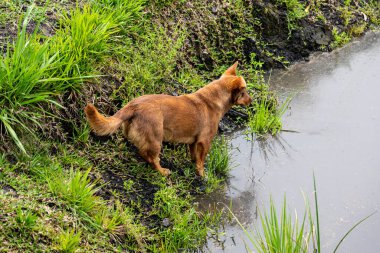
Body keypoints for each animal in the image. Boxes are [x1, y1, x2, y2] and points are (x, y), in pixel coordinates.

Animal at [85, 61, 254, 176]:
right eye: (244, 92)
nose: (251, 101)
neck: (213, 99)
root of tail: (133, 105)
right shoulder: (204, 142)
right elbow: (201, 161)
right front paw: (202, 175)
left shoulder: (193, 142)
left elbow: (194, 156)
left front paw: (193, 164)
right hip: (156, 139)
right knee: (152, 158)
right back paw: (162, 171)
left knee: (141, 151)